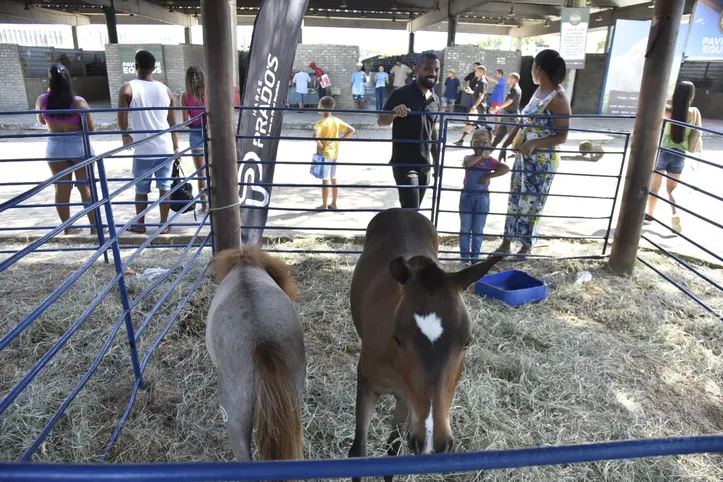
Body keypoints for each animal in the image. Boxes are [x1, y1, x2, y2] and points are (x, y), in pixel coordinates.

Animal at [348, 209, 500, 480]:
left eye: (467, 342)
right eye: (398, 338)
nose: (432, 443)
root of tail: (403, 211)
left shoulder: (405, 397)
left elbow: (392, 450)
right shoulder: (367, 386)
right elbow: (358, 452)